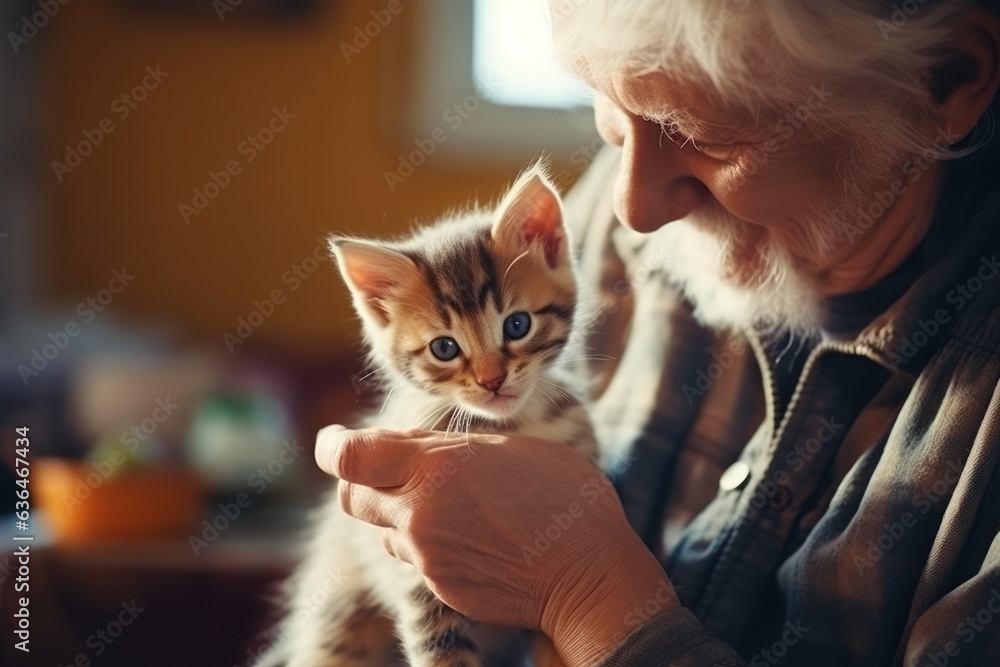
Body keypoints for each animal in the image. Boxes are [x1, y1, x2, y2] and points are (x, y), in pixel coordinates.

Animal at [262, 163, 596, 667]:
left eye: (517, 325)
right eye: (444, 348)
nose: (492, 381)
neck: (510, 426)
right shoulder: (414, 574)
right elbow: (441, 651)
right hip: (339, 623)